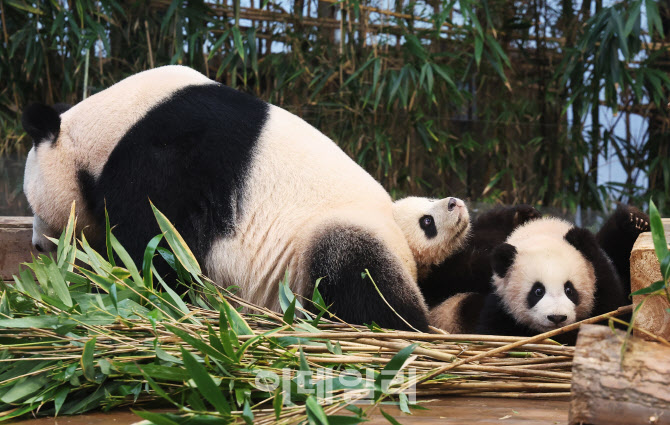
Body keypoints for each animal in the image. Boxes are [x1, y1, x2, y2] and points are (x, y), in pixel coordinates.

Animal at [22, 65, 472, 332]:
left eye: (33, 205)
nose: (37, 244)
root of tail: (409, 259)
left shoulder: (162, 155)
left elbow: (154, 243)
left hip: (338, 237)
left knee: (354, 270)